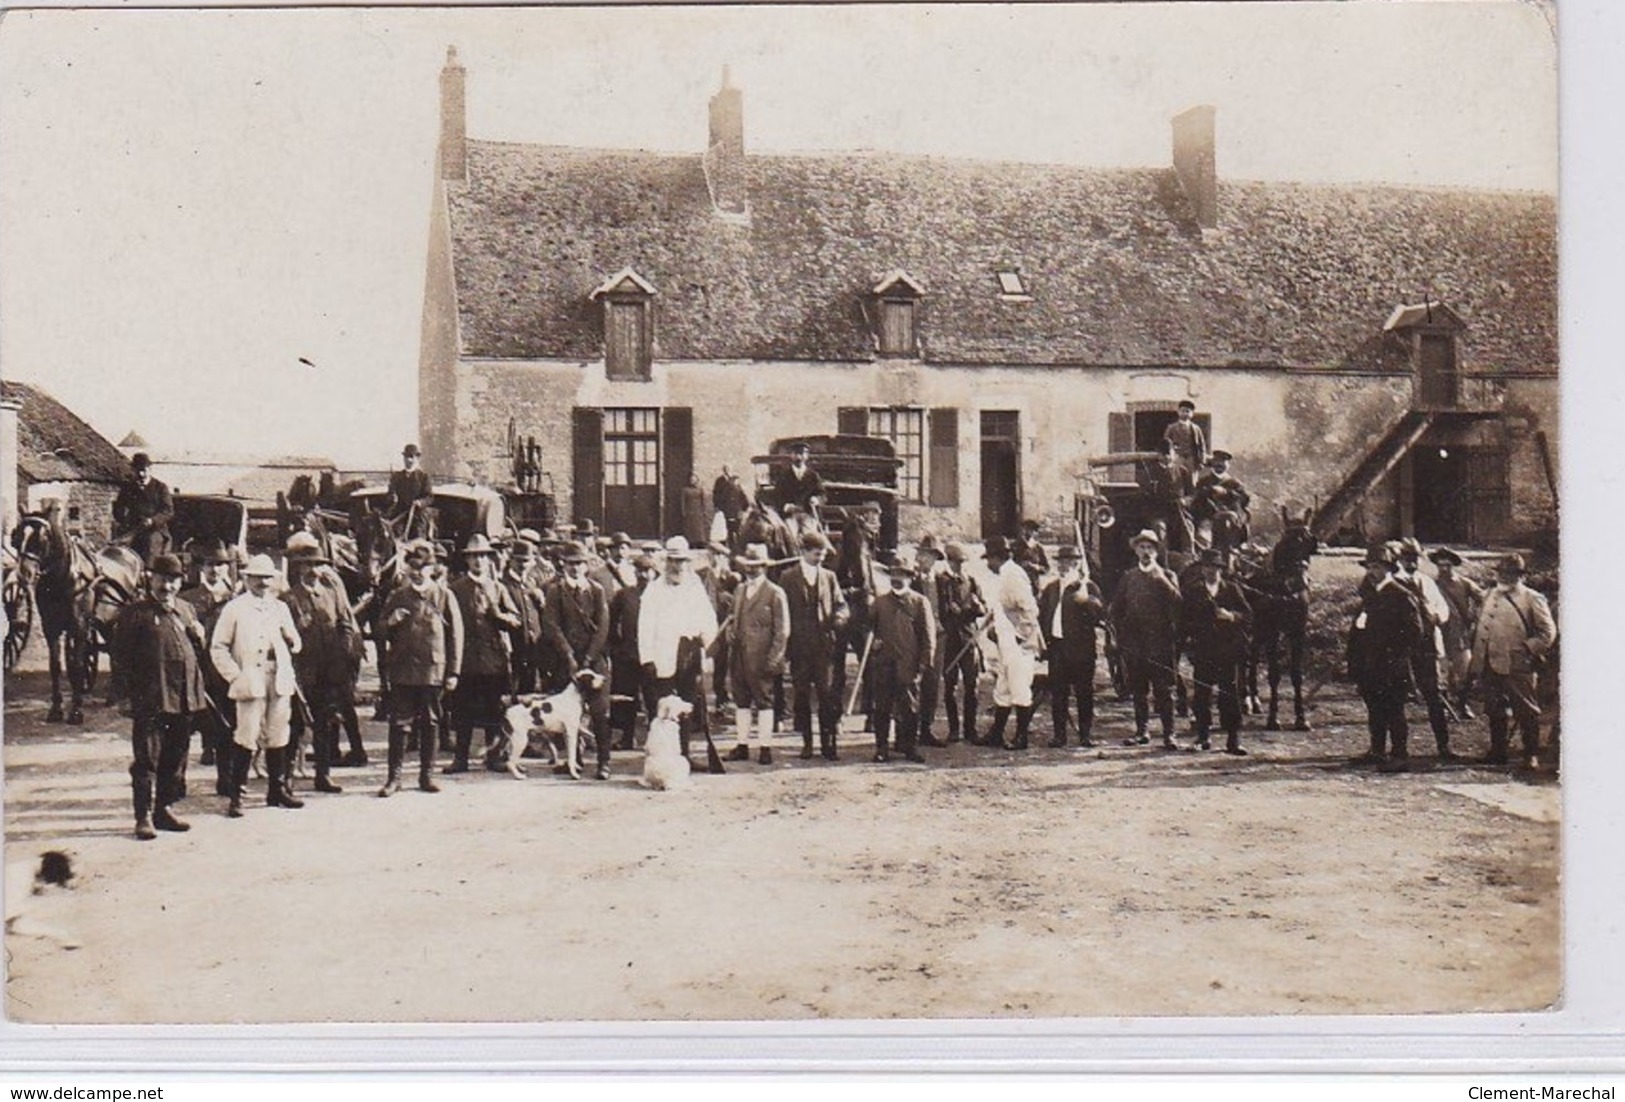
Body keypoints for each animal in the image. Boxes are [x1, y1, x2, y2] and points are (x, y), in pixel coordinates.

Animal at [10, 507, 98, 724]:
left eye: (42, 539)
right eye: (17, 536)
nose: (24, 574)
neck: (61, 578)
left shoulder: (80, 625)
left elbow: (78, 664)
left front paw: (76, 710)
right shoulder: (50, 627)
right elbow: (55, 665)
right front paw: (56, 708)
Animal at [1241, 510, 1319, 734]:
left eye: (1309, 541)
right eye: (1287, 542)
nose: (1300, 580)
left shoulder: (1298, 631)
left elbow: (1296, 674)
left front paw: (1301, 718)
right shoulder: (1273, 631)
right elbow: (1274, 674)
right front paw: (1273, 718)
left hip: (1258, 629)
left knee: (1252, 655)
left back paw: (1254, 699)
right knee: (1243, 657)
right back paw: (1245, 699)